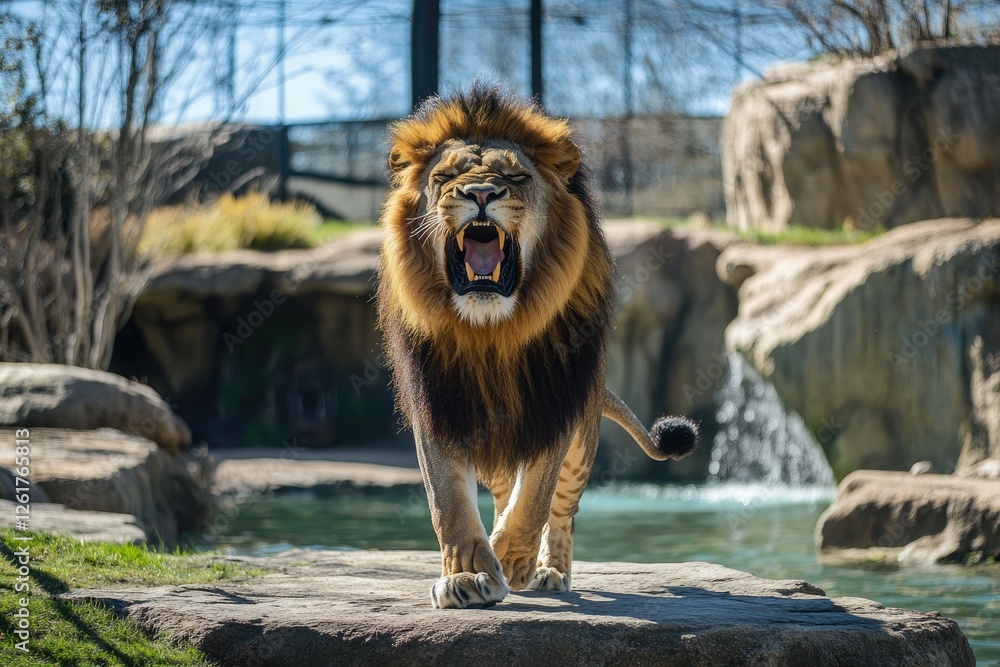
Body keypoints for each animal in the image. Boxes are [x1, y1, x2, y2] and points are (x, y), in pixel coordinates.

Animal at [377, 84, 699, 609]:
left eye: (516, 177)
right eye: (444, 178)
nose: (480, 193)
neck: (491, 331)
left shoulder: (554, 403)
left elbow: (535, 501)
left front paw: (511, 561)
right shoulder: (440, 405)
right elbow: (448, 502)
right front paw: (469, 574)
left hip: (581, 438)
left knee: (562, 510)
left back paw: (549, 569)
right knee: (504, 489)